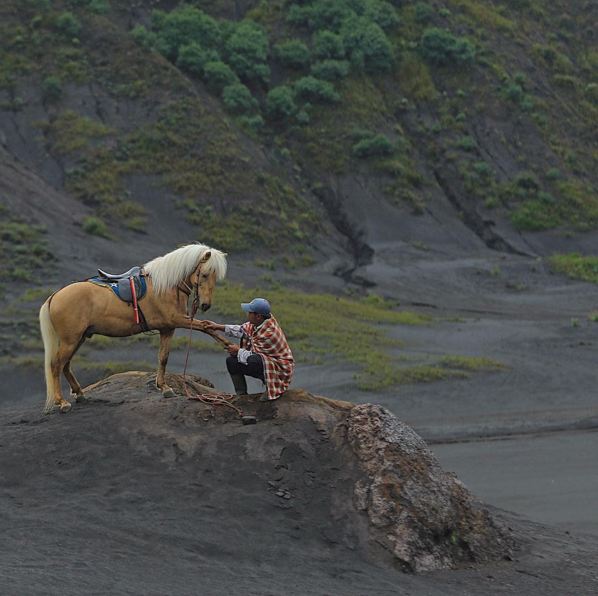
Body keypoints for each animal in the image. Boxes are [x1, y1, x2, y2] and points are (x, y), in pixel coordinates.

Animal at [38, 242, 230, 414]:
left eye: (215, 277)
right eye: (204, 275)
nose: (205, 305)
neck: (166, 285)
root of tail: (55, 296)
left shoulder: (168, 328)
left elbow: (163, 358)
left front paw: (164, 387)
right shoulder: (177, 320)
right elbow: (205, 326)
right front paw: (228, 344)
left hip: (79, 338)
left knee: (65, 365)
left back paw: (79, 393)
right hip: (70, 340)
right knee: (56, 365)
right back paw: (62, 402)